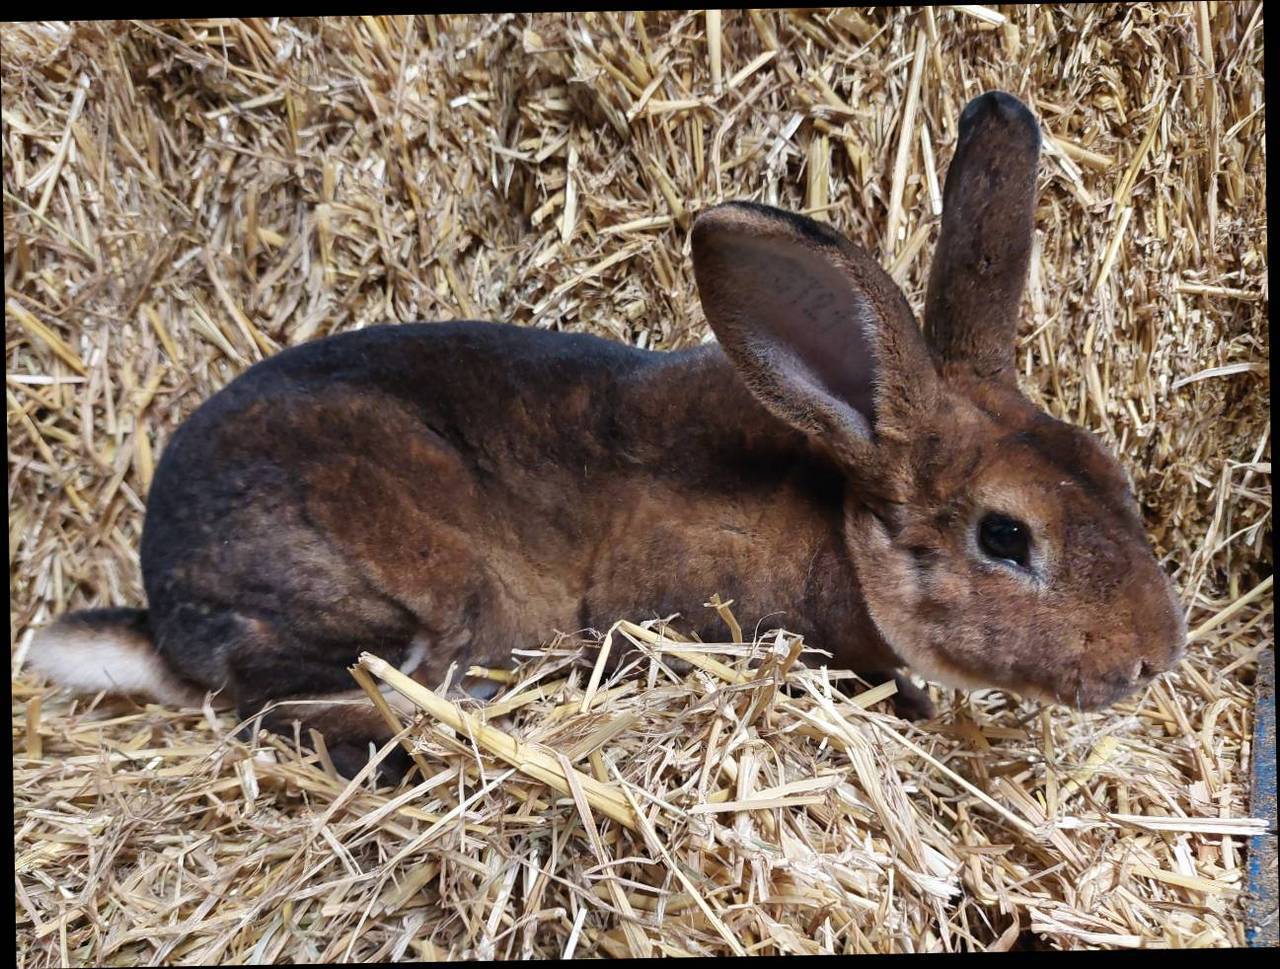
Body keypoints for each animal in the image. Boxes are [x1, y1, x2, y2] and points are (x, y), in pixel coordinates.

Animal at [24, 92, 1182, 788]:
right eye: (1004, 538)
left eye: (1115, 477)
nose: (1153, 658)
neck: (840, 516)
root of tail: (163, 614)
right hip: (382, 587)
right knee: (290, 706)